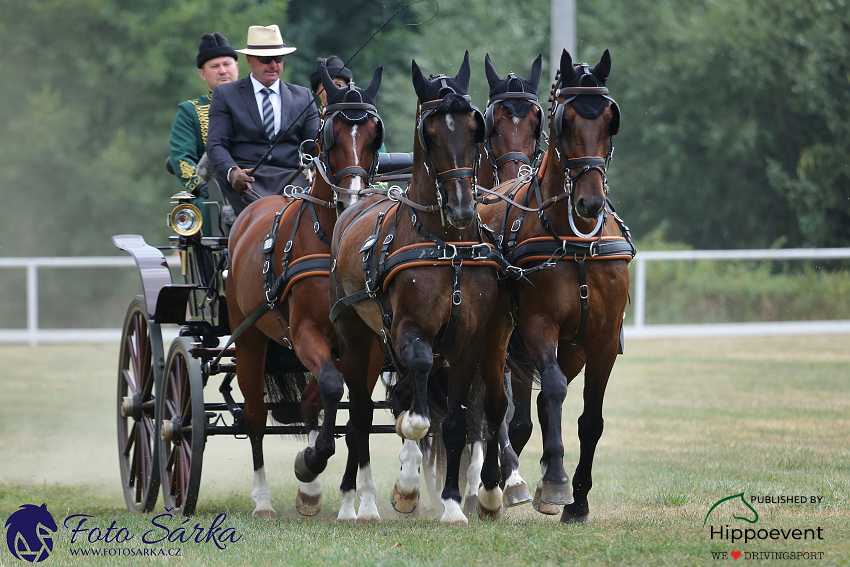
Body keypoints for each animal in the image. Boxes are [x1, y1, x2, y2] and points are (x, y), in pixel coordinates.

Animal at [225, 64, 384, 520]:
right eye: (330, 135)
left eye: (375, 134)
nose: (353, 198)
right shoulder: (303, 332)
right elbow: (332, 388)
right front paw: (310, 463)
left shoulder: (368, 342)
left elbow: (359, 410)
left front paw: (362, 499)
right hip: (249, 338)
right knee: (255, 414)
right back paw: (263, 500)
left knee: (314, 402)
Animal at [326, 52, 510, 524]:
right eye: (430, 133)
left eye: (474, 127)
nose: (463, 207)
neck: (447, 245)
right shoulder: (407, 328)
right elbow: (419, 380)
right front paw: (410, 442)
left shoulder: (470, 341)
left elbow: (457, 422)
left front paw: (453, 504)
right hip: (356, 337)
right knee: (356, 416)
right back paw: (354, 501)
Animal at [476, 50, 628, 524]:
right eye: (565, 120)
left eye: (610, 120)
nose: (590, 202)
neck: (575, 242)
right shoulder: (538, 325)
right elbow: (555, 390)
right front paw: (557, 481)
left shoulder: (599, 340)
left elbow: (589, 418)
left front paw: (577, 499)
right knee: (489, 407)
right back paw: (491, 482)